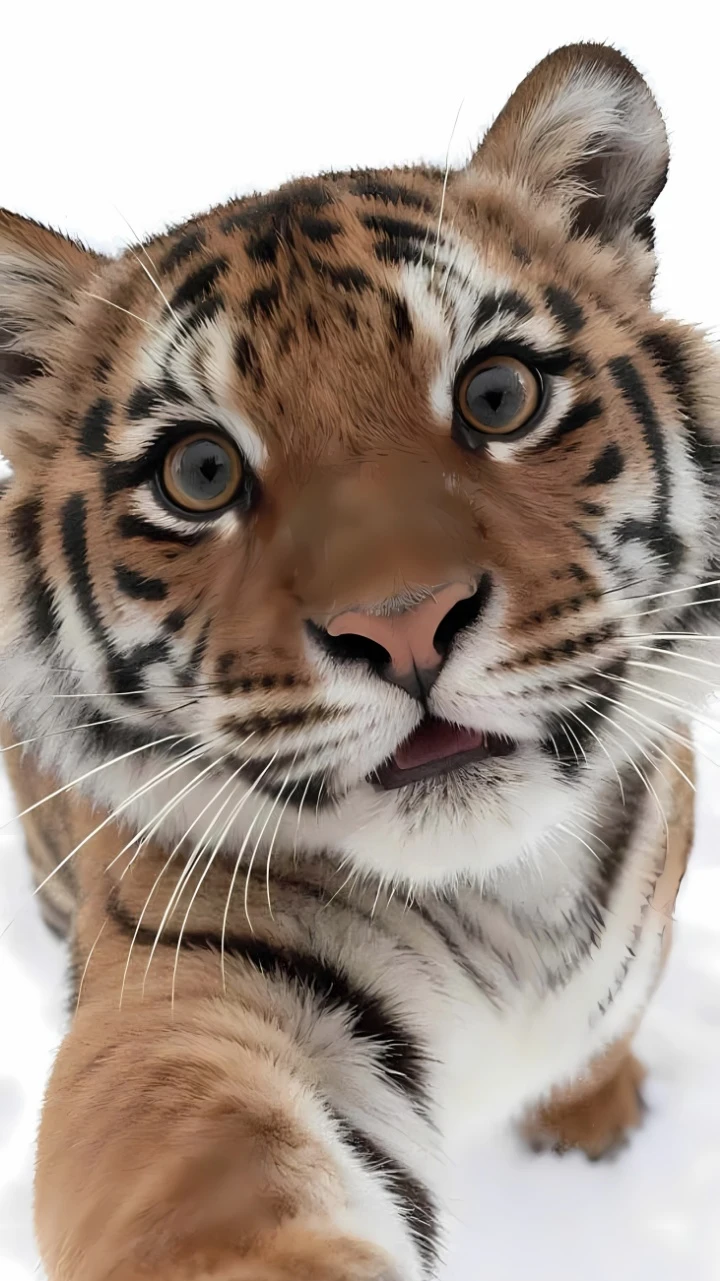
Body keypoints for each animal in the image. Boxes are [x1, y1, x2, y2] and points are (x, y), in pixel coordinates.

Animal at [0, 39, 717, 1281]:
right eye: (200, 474)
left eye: (498, 395)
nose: (405, 624)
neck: (508, 898)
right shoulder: (195, 982)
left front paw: (590, 1127)